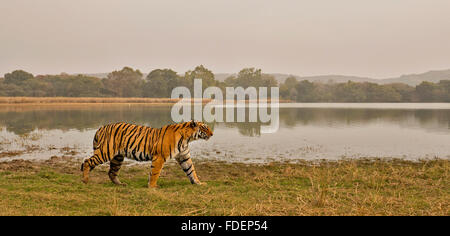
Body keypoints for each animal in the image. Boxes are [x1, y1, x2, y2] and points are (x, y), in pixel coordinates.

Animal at [80, 121, 213, 187]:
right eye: (205, 128)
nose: (212, 134)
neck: (187, 138)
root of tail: (101, 127)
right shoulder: (159, 157)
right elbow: (155, 173)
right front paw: (153, 187)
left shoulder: (184, 157)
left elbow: (191, 171)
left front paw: (198, 183)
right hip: (105, 152)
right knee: (87, 162)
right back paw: (85, 180)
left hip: (117, 157)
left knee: (112, 172)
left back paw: (120, 184)